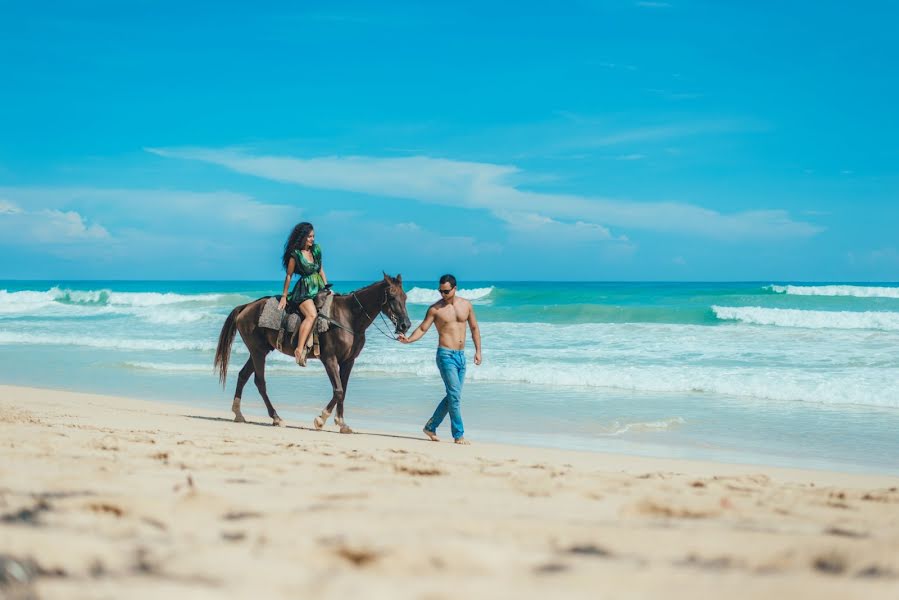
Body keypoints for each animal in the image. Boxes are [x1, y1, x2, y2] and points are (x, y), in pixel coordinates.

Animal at [216, 274, 414, 434]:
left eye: (405, 297)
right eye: (392, 297)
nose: (405, 325)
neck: (348, 317)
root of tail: (246, 307)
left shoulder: (348, 361)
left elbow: (343, 390)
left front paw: (341, 423)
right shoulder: (329, 359)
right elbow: (338, 390)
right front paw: (321, 419)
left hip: (260, 351)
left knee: (243, 376)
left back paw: (239, 413)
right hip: (258, 352)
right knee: (260, 382)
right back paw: (276, 418)